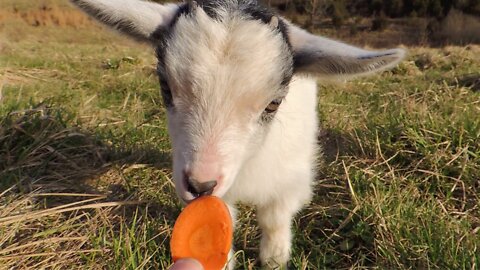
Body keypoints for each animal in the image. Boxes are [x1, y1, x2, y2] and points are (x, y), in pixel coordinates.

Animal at [71, 0, 404, 268]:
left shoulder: (292, 180)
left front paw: (274, 258)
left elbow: (274, 218)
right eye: (165, 87)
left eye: (273, 103)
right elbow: (223, 221)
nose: (200, 185)